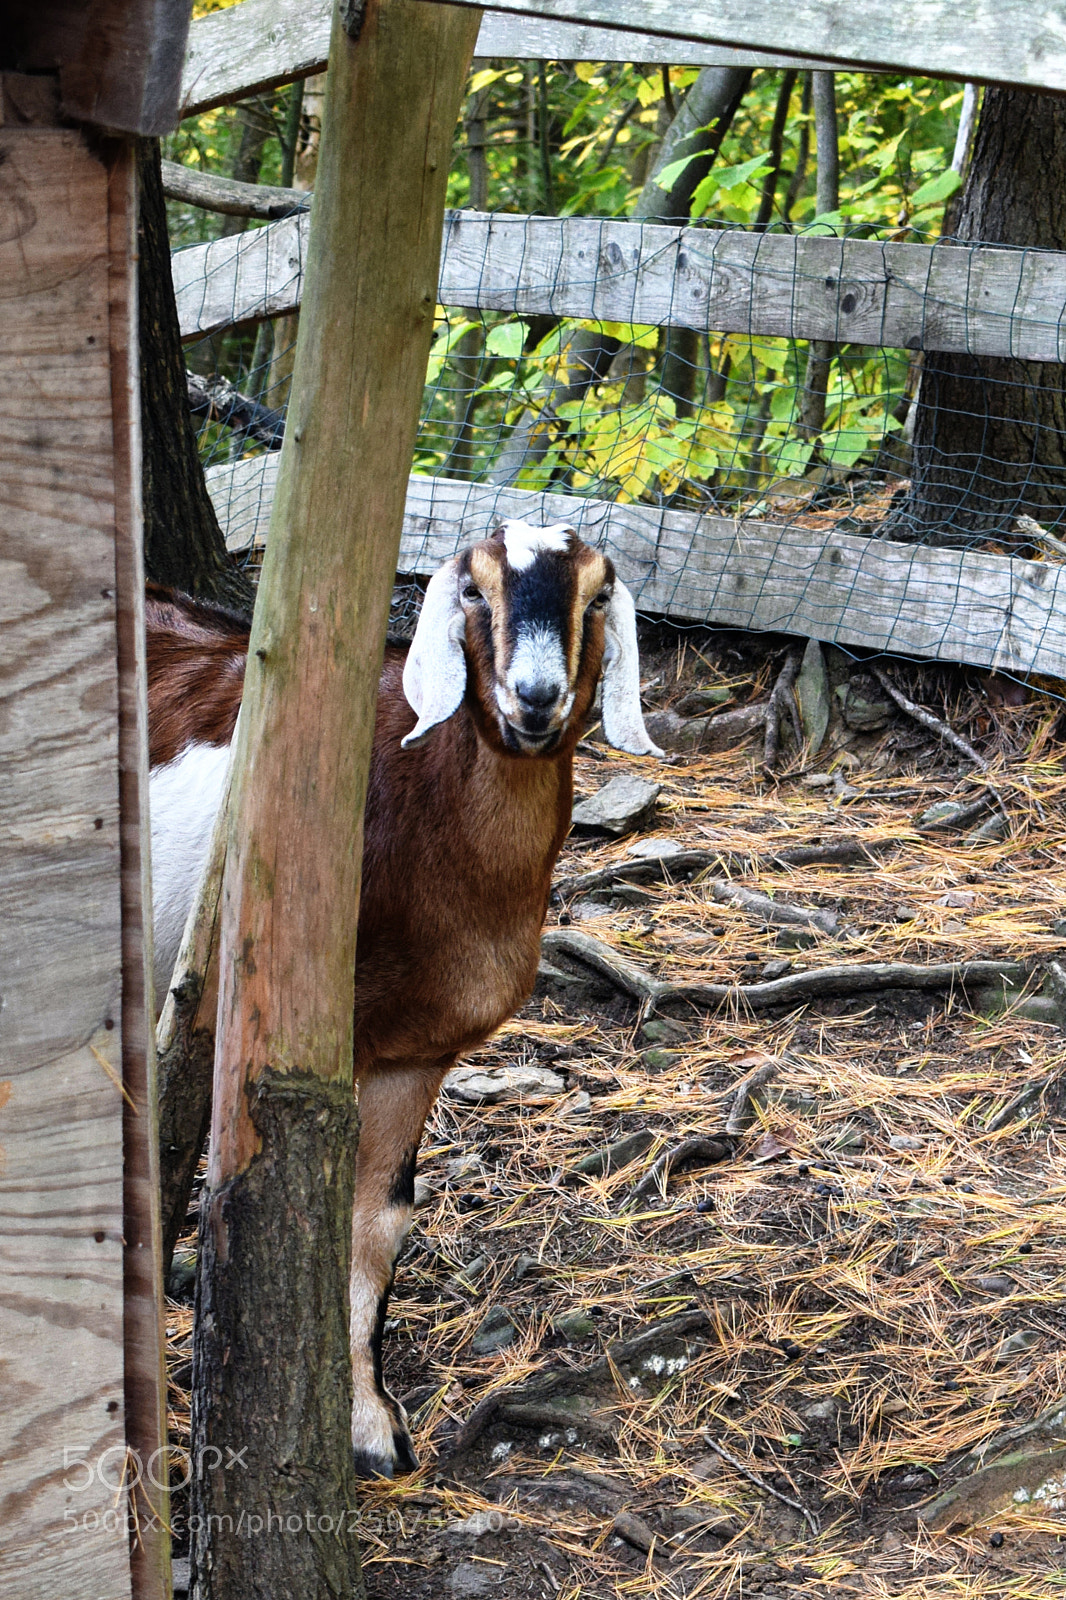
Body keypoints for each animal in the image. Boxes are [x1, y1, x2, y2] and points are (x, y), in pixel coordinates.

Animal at [147, 520, 661, 1478]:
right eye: (474, 589)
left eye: (597, 595)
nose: (535, 697)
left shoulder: (416, 1050)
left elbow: (375, 1223)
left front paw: (369, 1428)